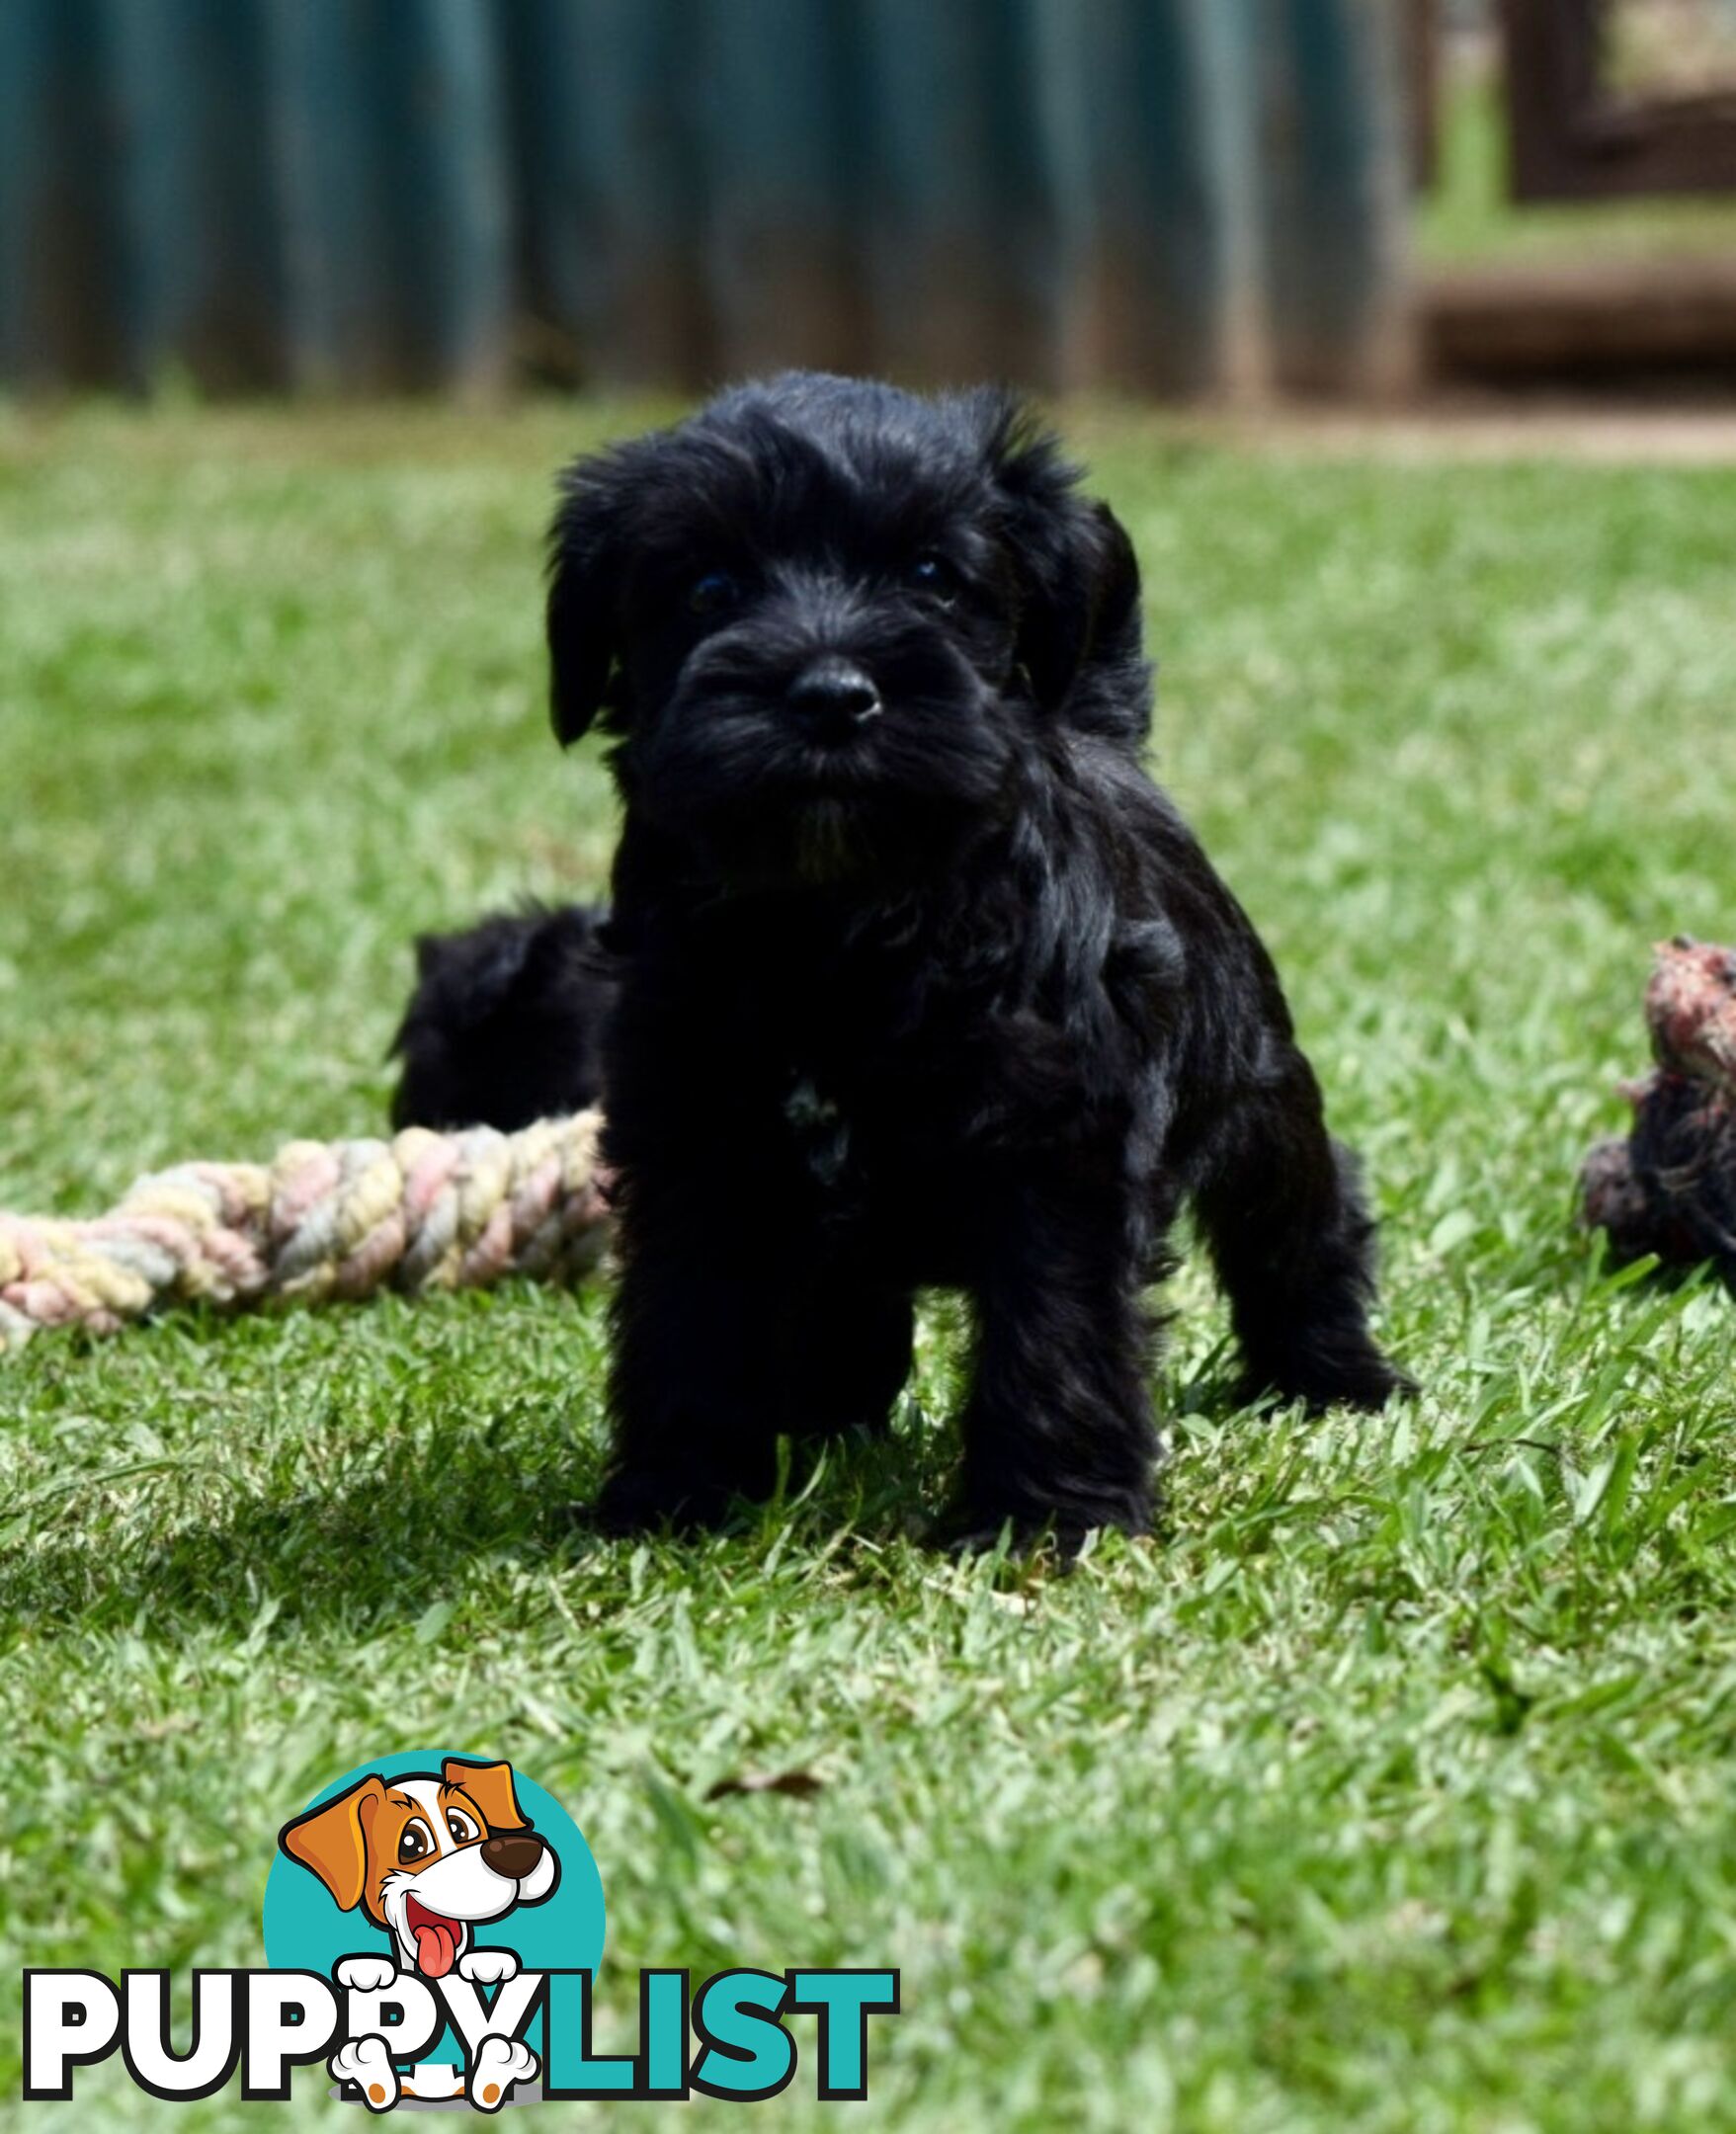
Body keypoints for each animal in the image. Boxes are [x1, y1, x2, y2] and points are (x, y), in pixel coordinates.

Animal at [541, 375, 1409, 1544]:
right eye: (708, 586)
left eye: (930, 578)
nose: (829, 693)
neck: (838, 918)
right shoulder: (695, 1139)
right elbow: (689, 1318)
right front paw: (674, 1493)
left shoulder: (1059, 1147)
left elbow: (1054, 1335)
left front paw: (1043, 1518)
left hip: (1261, 1091)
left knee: (1298, 1225)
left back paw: (1333, 1377)